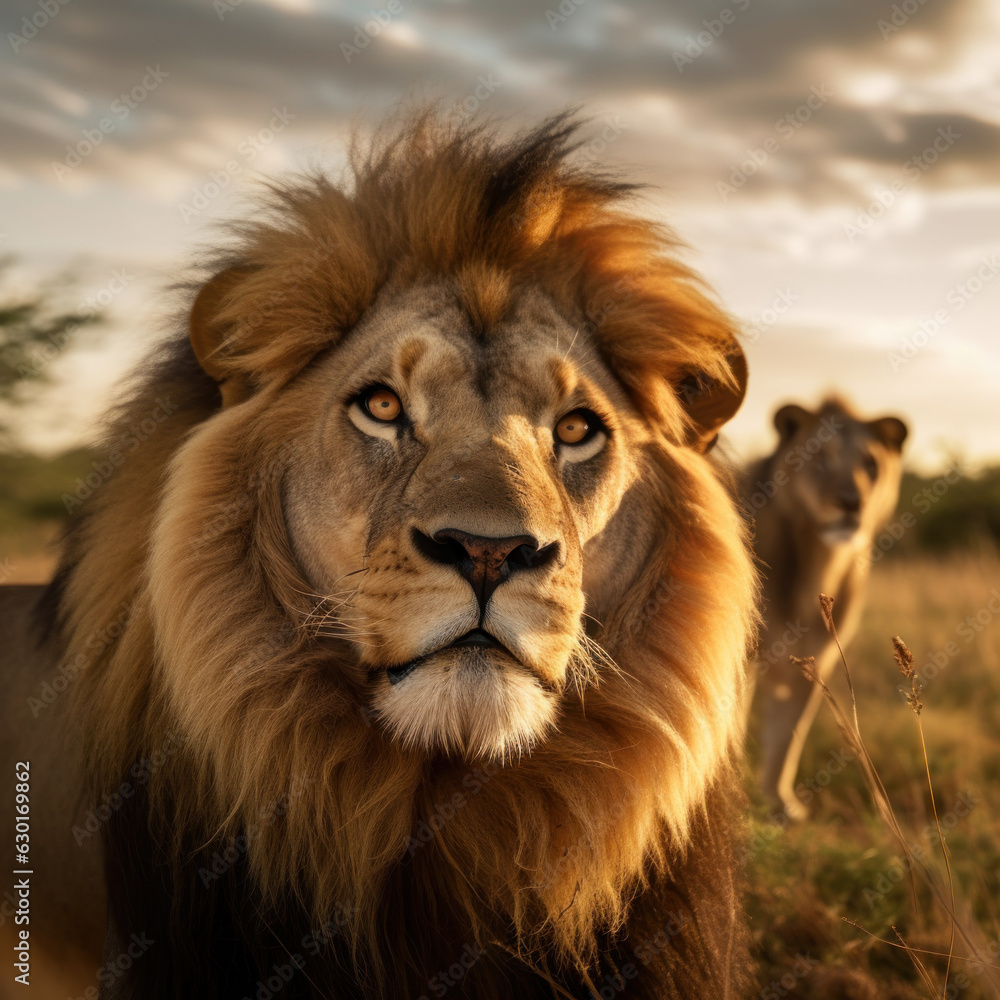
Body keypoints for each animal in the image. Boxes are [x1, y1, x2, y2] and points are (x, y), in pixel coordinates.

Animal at [746, 397, 907, 820]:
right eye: (821, 458)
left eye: (870, 463)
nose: (851, 502)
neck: (820, 562)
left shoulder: (813, 660)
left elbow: (788, 736)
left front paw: (780, 805)